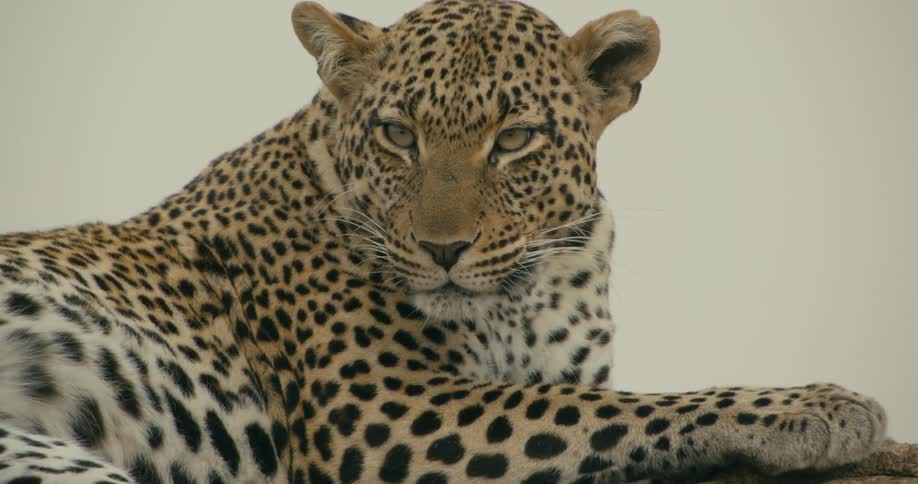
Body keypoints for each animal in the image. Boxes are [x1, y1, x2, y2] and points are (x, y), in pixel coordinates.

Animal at [0, 1, 888, 483]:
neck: (538, 289)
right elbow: (602, 409)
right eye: (399, 134)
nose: (443, 250)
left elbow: (590, 397)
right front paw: (817, 406)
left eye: (515, 139)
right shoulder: (379, 409)